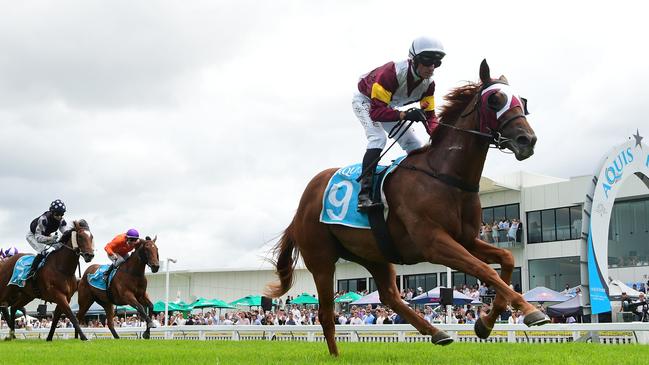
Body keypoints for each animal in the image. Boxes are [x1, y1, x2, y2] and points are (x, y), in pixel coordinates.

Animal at [268, 60, 548, 356]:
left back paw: (437, 332)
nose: (527, 140)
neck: (446, 177)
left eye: (522, 101)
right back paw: (335, 355)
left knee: (389, 295)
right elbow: (484, 270)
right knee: (326, 313)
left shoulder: (466, 239)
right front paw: (531, 311)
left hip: (374, 254)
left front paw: (485, 323)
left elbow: (505, 261)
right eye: (495, 100)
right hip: (322, 259)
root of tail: (301, 206)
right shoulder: (433, 243)